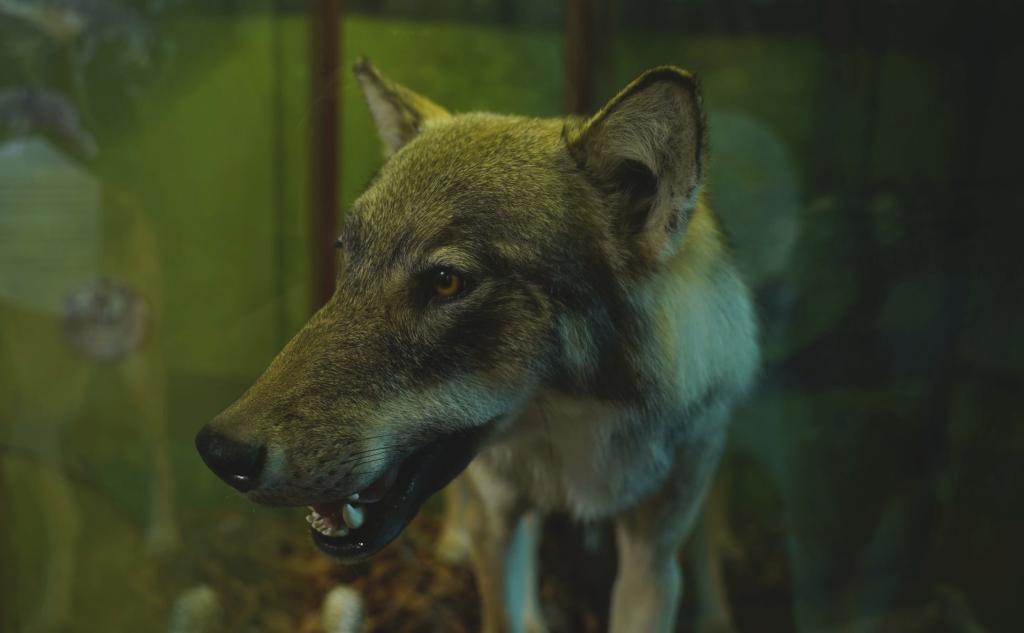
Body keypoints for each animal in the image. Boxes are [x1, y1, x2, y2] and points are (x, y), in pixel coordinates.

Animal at [195, 59, 759, 633]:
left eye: (447, 282)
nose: (221, 451)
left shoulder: (652, 559)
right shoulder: (498, 521)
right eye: (346, 254)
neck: (574, 436)